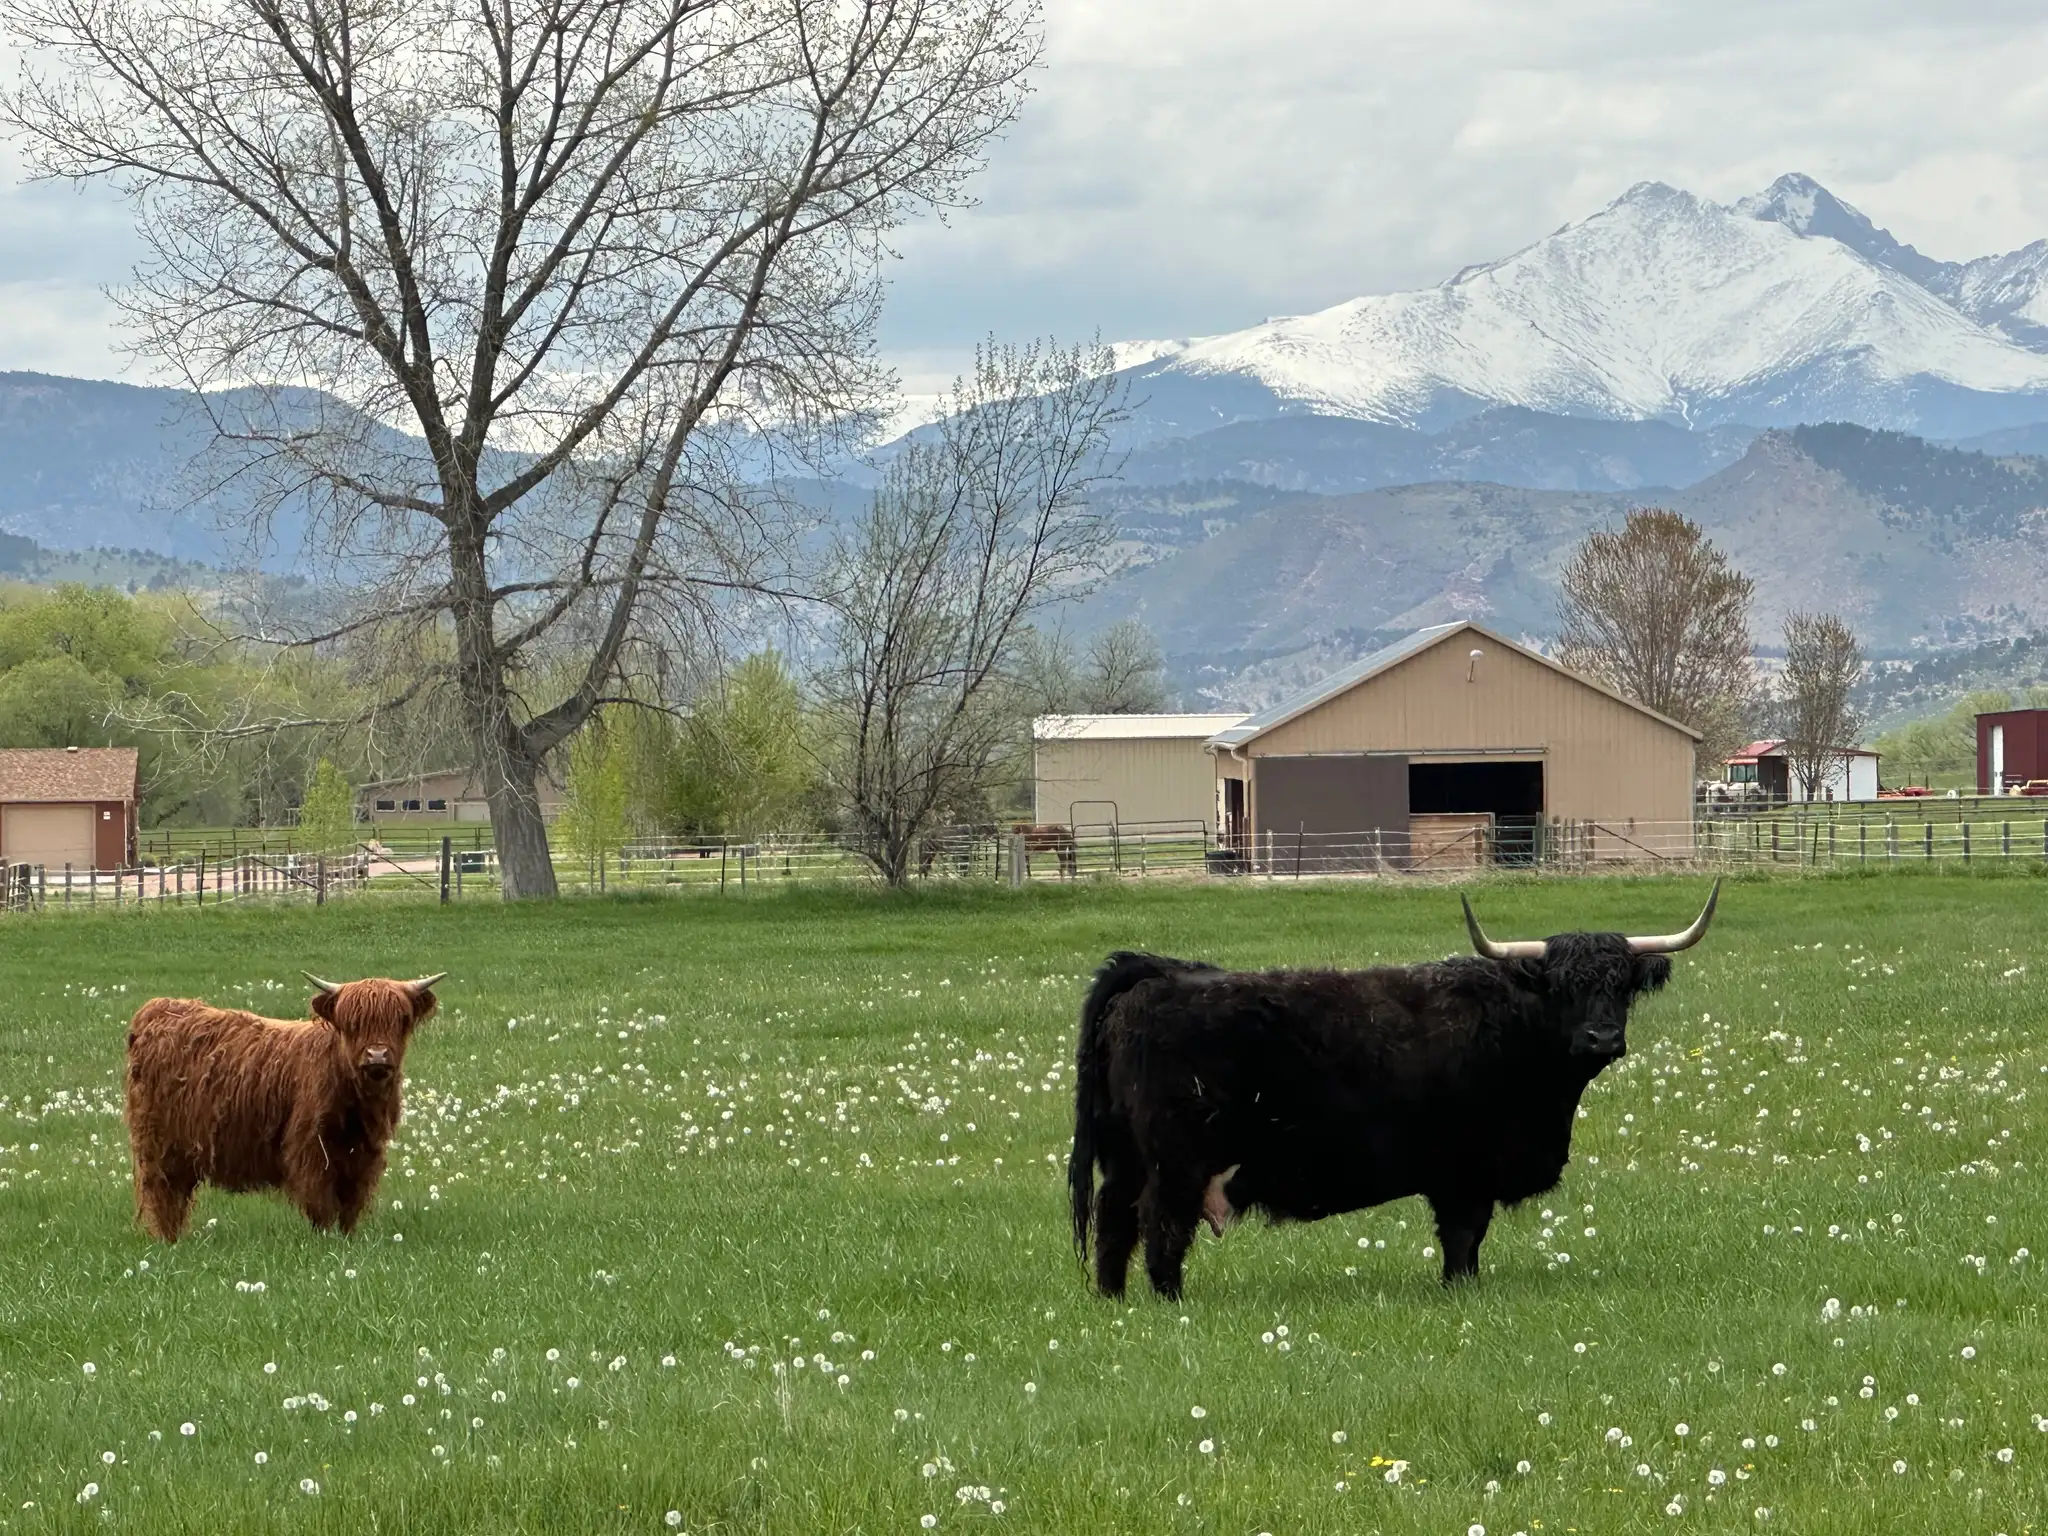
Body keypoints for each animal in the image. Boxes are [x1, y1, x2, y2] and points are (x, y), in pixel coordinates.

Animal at [124, 972, 445, 1241]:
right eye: (351, 1022)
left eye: (401, 1019)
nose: (377, 1056)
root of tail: (157, 1010)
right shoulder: (310, 1148)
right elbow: (322, 1203)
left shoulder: (364, 1155)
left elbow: (350, 1206)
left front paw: (347, 1240)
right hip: (158, 1147)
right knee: (163, 1195)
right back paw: (168, 1241)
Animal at [1068, 885, 1719, 1298]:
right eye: (1563, 985)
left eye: (1623, 985)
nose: (1601, 1036)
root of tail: (1156, 972)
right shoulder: (1464, 1178)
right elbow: (1462, 1243)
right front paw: (1460, 1292)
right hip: (1176, 1163)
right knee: (1159, 1226)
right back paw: (1168, 1300)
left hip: (1126, 1156)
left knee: (1114, 1221)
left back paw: (1113, 1299)